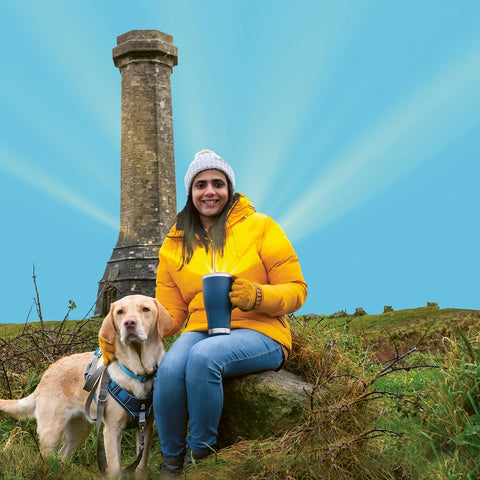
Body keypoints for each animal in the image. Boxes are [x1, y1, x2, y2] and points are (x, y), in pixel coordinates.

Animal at [0, 294, 172, 478]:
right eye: (120, 312)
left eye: (145, 309)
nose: (129, 323)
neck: (137, 373)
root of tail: (46, 374)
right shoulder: (112, 430)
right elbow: (115, 469)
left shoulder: (146, 427)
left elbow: (141, 465)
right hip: (51, 433)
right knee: (46, 461)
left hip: (78, 431)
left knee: (61, 457)